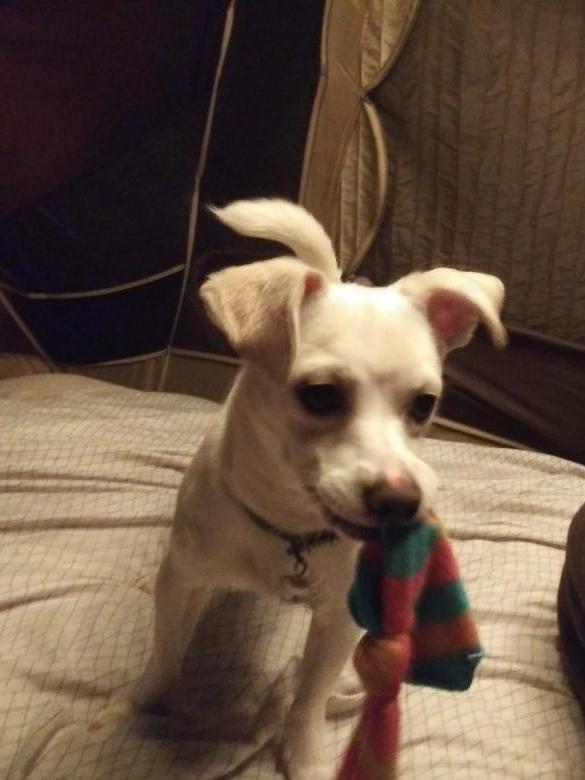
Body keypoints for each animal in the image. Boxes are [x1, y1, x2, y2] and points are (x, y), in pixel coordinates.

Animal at [124, 199, 506, 779]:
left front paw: (303, 757)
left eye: (425, 404)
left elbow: (308, 698)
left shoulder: (336, 622)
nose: (402, 502)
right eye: (321, 394)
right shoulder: (184, 584)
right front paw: (138, 707)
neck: (289, 528)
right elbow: (166, 656)